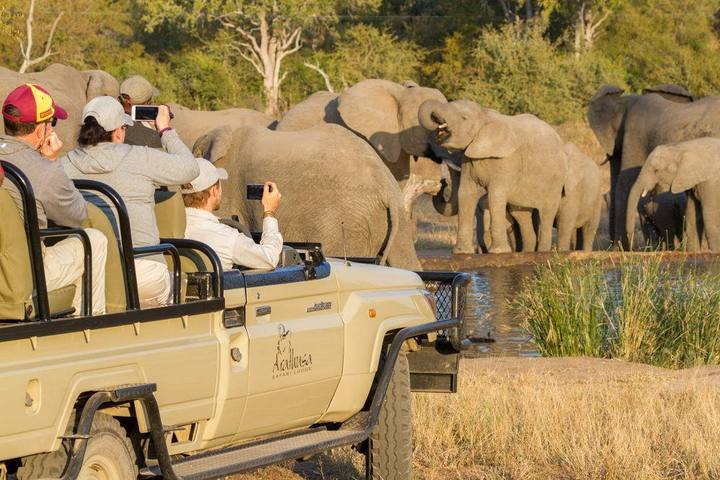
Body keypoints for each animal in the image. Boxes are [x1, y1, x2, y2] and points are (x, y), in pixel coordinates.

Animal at [419, 99, 567, 254]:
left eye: (464, 118)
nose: (443, 182)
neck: (485, 116)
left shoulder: (506, 161)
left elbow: (495, 194)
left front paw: (499, 252)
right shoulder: (468, 161)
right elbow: (465, 193)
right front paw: (461, 252)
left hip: (555, 179)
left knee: (547, 213)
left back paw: (542, 252)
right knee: (521, 213)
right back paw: (527, 252)